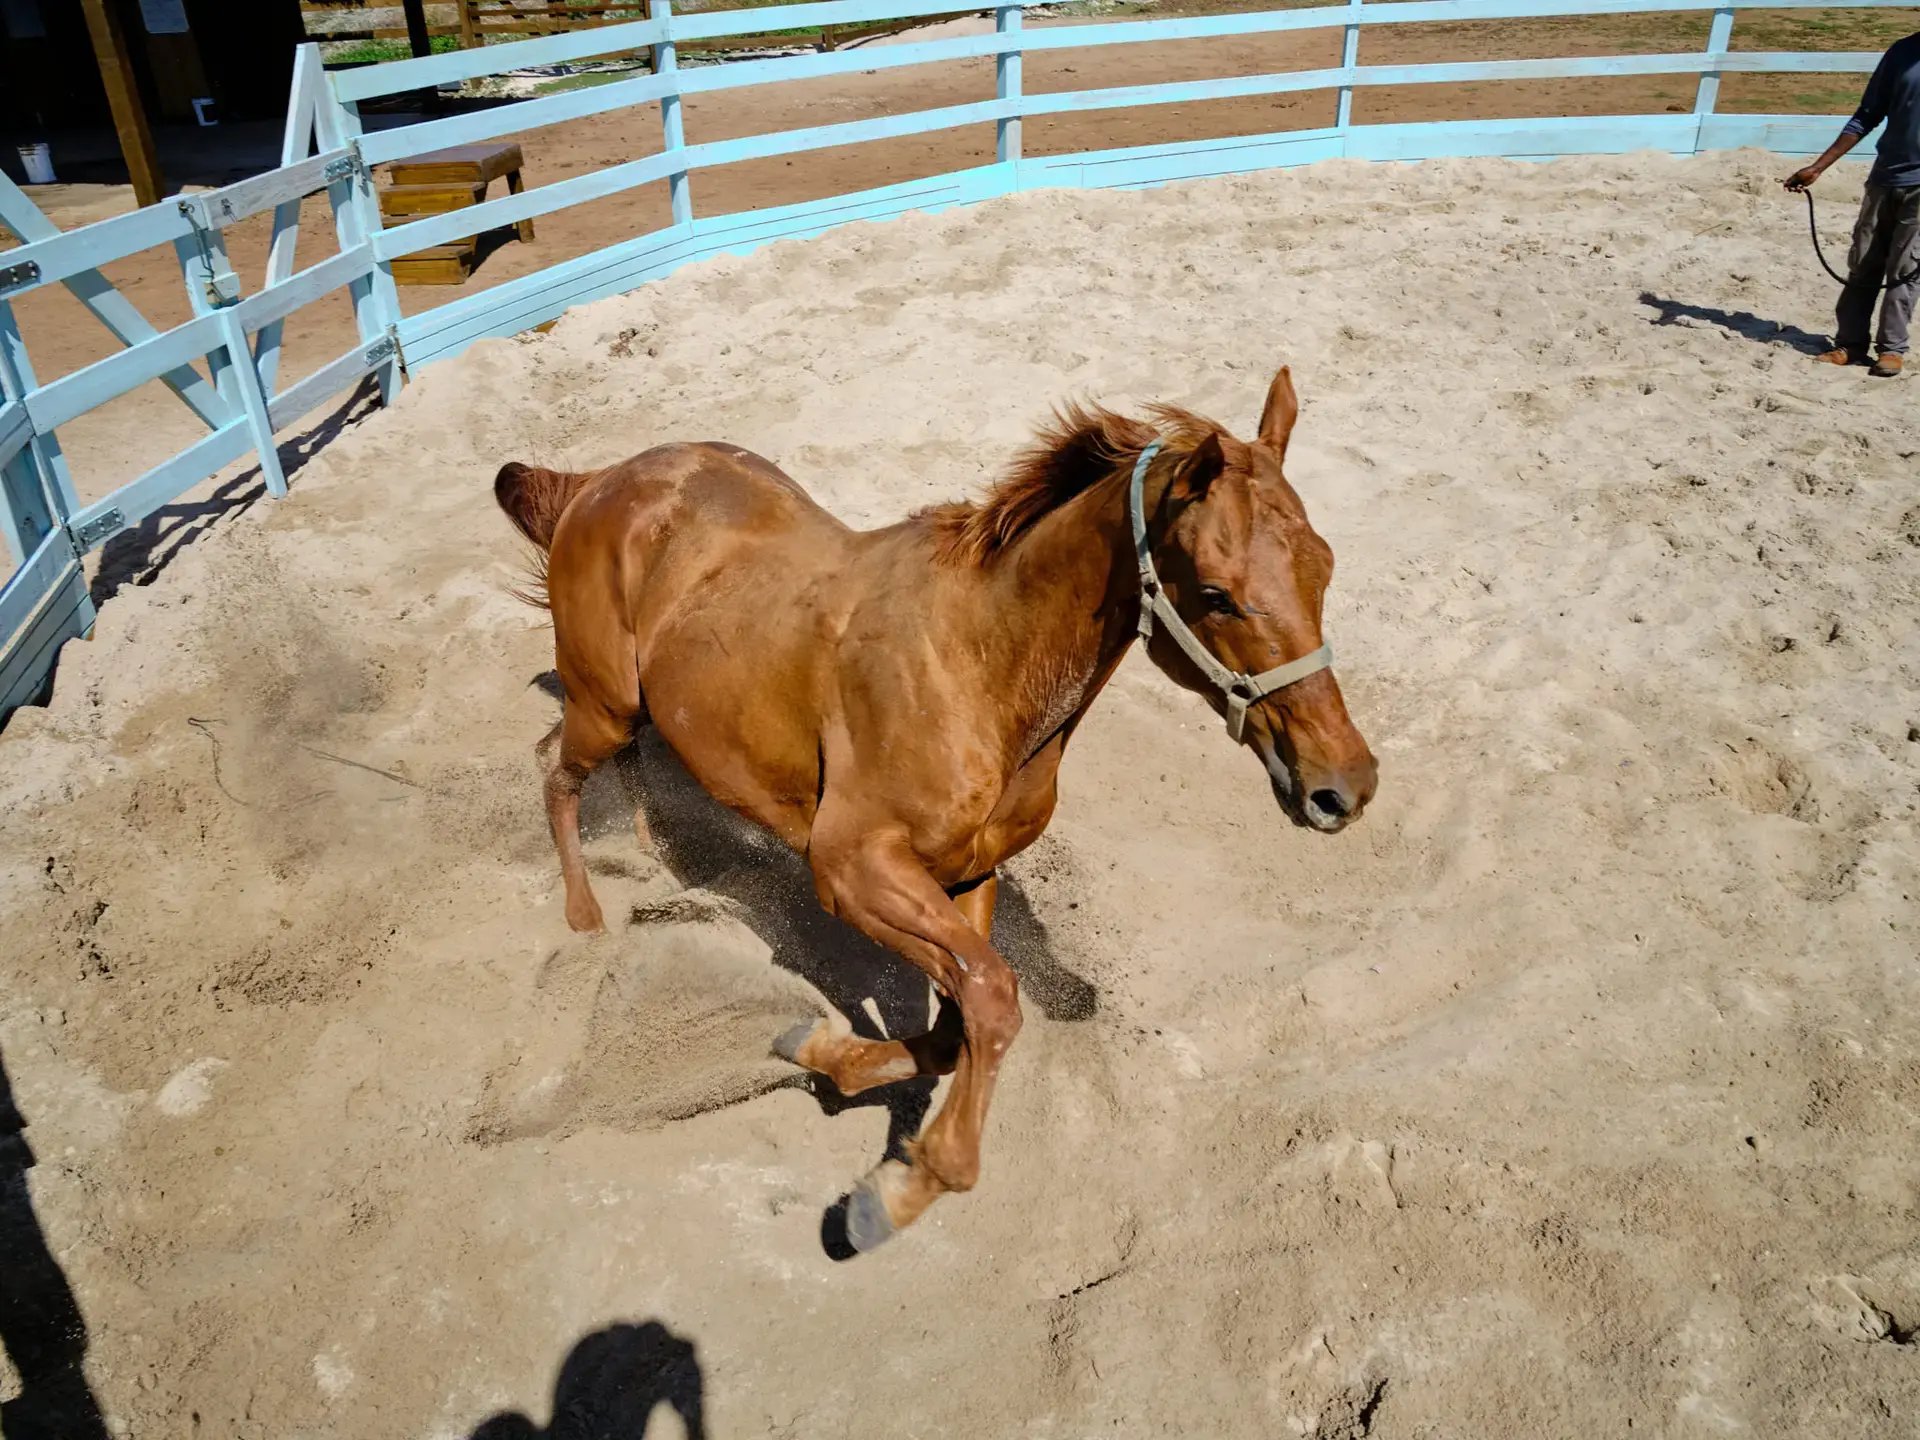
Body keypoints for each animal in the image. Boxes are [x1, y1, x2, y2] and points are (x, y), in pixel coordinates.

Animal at [493, 366, 1377, 1251]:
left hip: (639, 708)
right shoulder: (852, 869)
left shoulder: (967, 874)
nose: (1345, 786)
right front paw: (898, 1192)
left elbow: (959, 1027)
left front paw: (818, 1053)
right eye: (1217, 595)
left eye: (1327, 566)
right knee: (552, 766)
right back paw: (585, 915)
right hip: (603, 700)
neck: (977, 669)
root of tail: (598, 481)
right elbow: (991, 997)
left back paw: (648, 855)